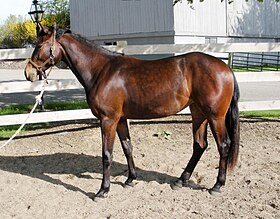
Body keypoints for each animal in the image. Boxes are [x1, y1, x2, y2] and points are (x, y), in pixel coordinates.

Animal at [24, 24, 240, 199]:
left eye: (39, 45)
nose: (29, 72)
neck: (101, 71)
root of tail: (225, 68)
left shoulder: (108, 120)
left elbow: (107, 154)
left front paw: (103, 190)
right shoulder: (120, 120)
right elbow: (127, 147)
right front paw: (130, 179)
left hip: (215, 116)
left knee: (223, 145)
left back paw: (217, 185)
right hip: (198, 113)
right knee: (199, 145)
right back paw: (181, 180)